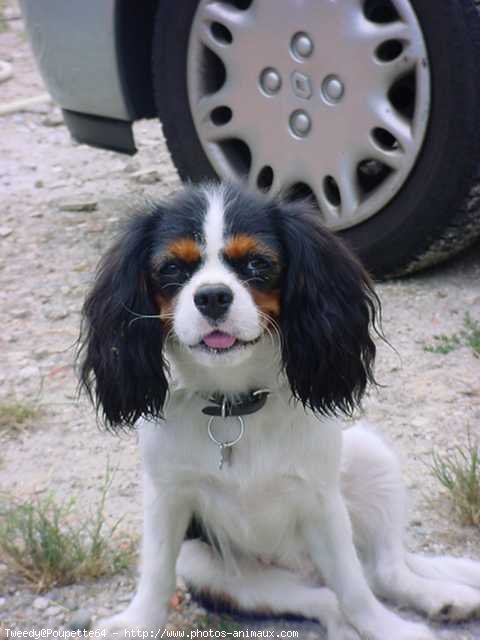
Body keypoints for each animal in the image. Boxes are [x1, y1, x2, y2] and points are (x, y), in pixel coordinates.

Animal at [80, 182, 480, 636]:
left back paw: (441, 601)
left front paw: (387, 628)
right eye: (171, 268)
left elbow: (354, 587)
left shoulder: (322, 502)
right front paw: (137, 622)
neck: (234, 407)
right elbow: (157, 571)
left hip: (368, 455)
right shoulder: (167, 497)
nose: (212, 296)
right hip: (214, 569)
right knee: (327, 600)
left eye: (257, 263)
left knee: (382, 570)